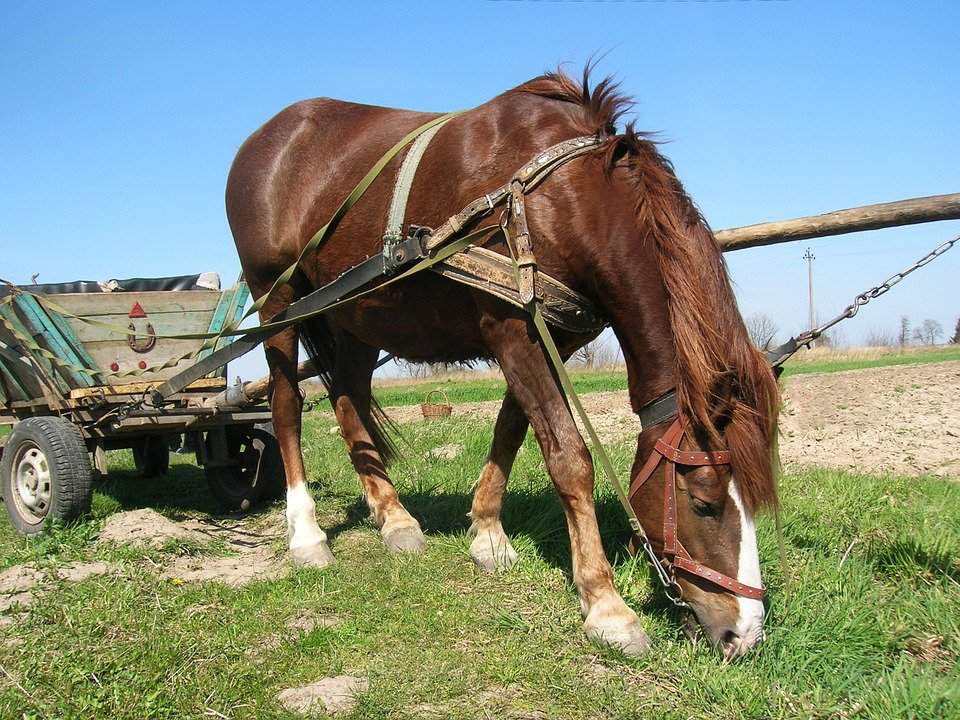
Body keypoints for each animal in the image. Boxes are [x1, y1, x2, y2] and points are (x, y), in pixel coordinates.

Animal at [225, 67, 780, 660]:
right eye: (703, 503)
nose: (745, 634)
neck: (557, 197)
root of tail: (266, 138)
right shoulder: (511, 328)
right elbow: (568, 457)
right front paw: (606, 605)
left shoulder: (552, 334)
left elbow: (512, 428)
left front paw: (488, 532)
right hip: (277, 303)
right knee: (287, 405)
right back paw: (306, 534)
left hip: (354, 315)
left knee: (348, 396)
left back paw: (393, 517)